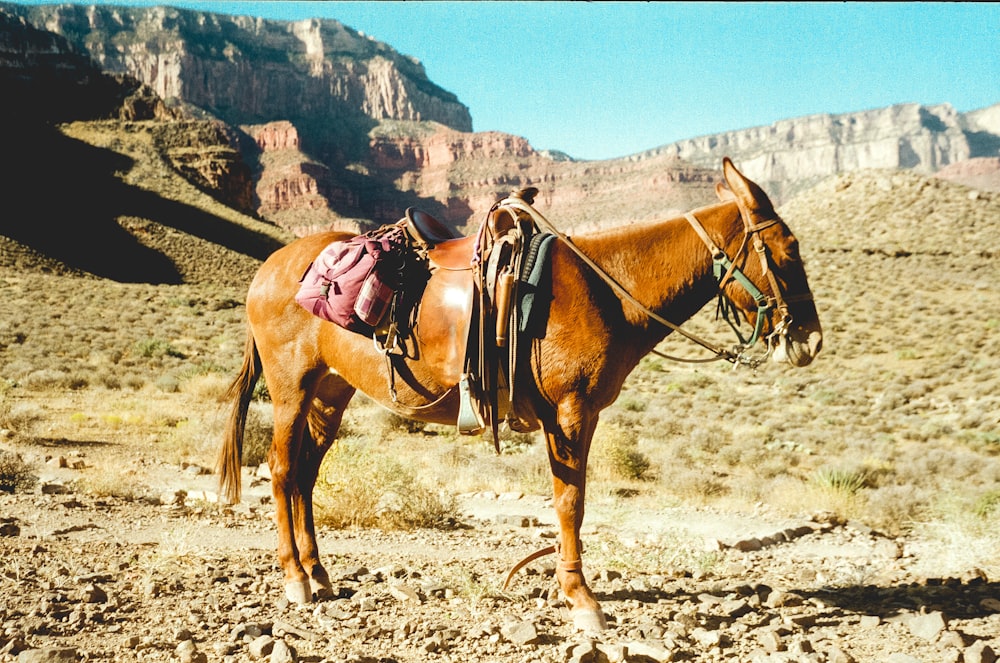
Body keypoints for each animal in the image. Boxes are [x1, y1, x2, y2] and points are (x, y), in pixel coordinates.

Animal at [217, 158, 820, 632]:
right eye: (787, 251)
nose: (810, 339)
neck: (608, 290)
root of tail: (268, 269)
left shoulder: (570, 417)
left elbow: (567, 500)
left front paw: (563, 587)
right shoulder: (573, 413)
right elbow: (571, 501)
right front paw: (581, 600)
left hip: (330, 392)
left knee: (305, 474)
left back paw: (320, 573)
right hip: (292, 387)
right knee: (281, 470)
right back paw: (295, 578)